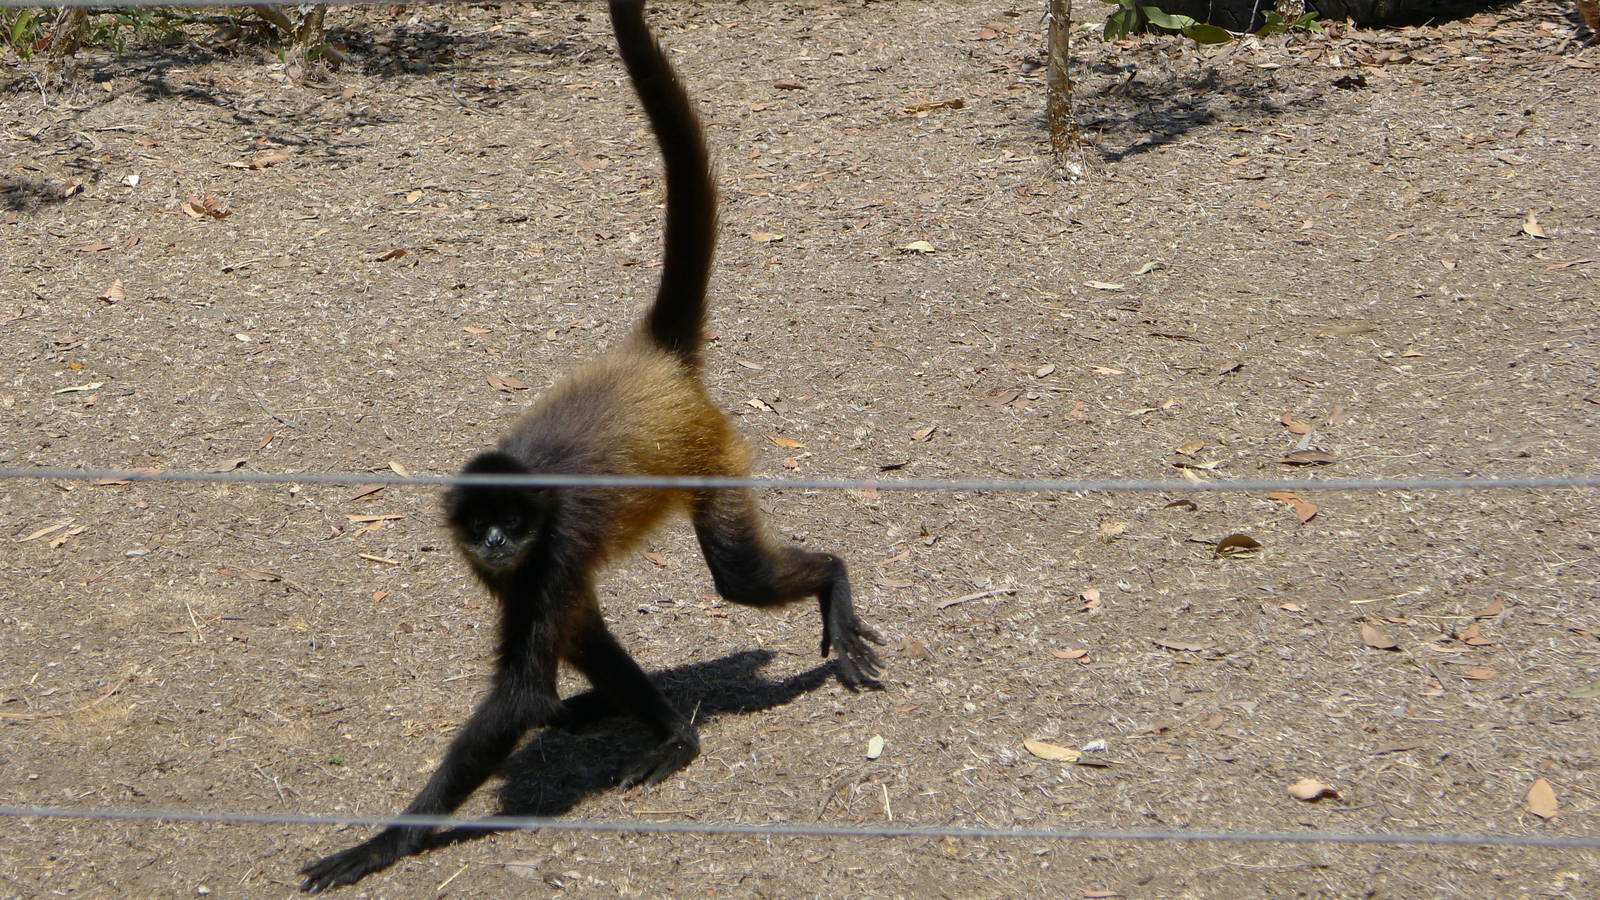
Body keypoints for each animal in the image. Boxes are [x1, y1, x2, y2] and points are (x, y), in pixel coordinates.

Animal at [298, 0, 883, 891]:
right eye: (481, 527)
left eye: (511, 523)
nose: (497, 542)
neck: (528, 509)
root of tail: (651, 362)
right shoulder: (518, 564)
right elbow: (575, 638)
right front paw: (666, 727)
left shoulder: (557, 541)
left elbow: (522, 694)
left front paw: (383, 842)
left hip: (710, 456)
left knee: (738, 577)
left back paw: (830, 584)